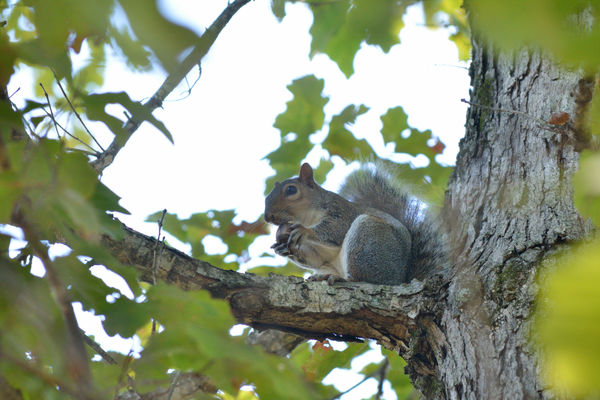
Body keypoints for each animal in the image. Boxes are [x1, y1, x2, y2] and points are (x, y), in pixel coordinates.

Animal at [264, 162, 448, 284]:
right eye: (266, 197)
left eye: (291, 189)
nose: (268, 217)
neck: (307, 218)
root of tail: (399, 279)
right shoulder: (319, 253)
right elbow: (316, 258)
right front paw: (285, 248)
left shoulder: (342, 211)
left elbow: (336, 229)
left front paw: (305, 231)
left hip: (368, 237)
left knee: (363, 279)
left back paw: (341, 279)